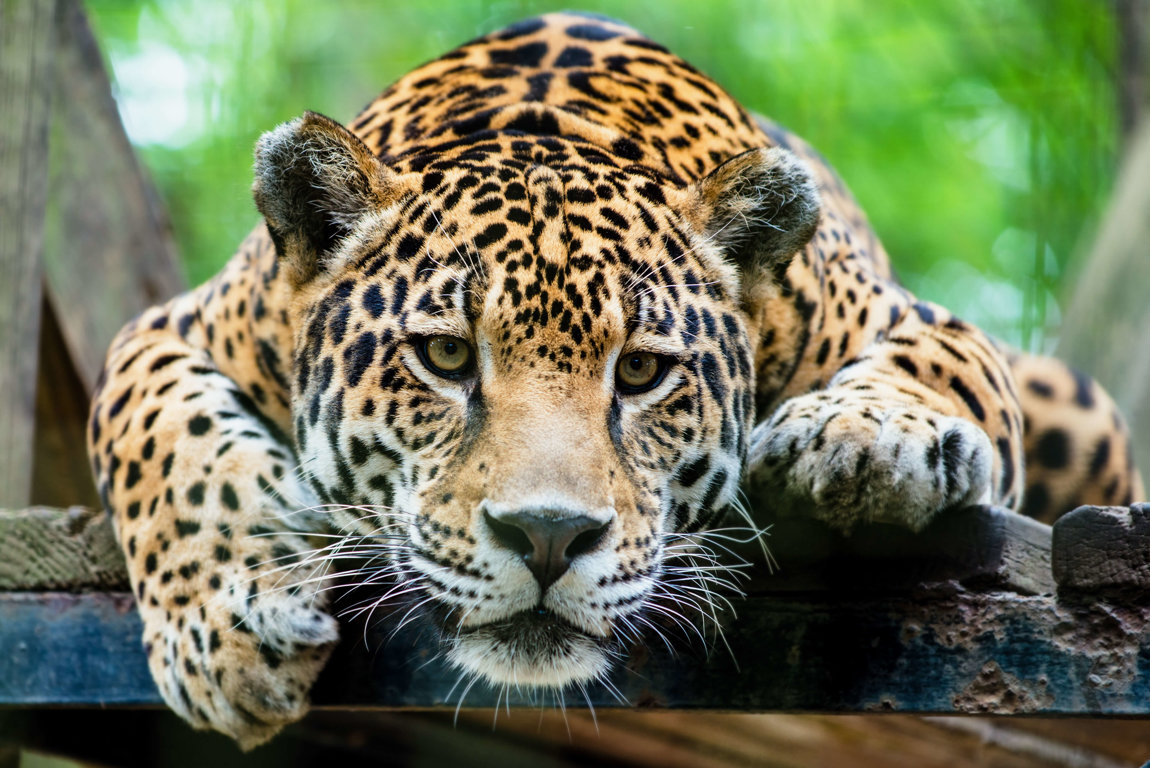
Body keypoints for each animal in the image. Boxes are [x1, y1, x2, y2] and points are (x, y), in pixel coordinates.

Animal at [87, 12, 1144, 748]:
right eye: (446, 357)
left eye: (640, 372)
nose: (548, 538)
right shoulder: (171, 328)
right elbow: (161, 440)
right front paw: (226, 633)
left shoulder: (912, 318)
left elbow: (938, 365)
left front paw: (863, 439)